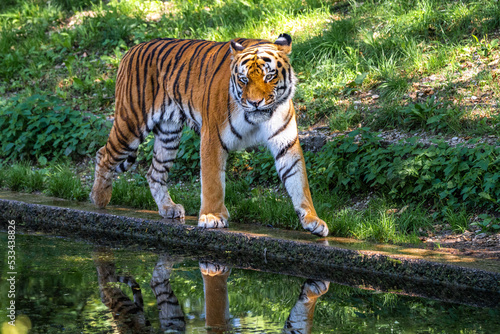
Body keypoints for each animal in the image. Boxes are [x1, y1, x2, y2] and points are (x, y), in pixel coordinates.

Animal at [90, 34, 330, 236]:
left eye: (269, 76)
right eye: (243, 80)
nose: (255, 103)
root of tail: (132, 50)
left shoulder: (286, 144)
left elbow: (299, 181)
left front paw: (312, 220)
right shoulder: (212, 137)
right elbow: (212, 181)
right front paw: (212, 217)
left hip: (168, 134)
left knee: (154, 172)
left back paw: (168, 208)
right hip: (131, 124)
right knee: (104, 154)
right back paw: (99, 198)